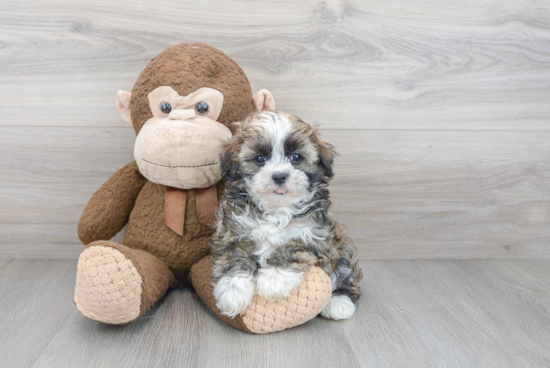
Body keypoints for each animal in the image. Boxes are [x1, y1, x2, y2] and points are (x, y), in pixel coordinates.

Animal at [210, 110, 362, 320]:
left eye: (296, 157)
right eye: (260, 159)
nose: (279, 176)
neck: (276, 208)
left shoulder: (316, 236)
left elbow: (292, 248)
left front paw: (273, 280)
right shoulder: (231, 232)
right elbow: (235, 256)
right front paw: (233, 290)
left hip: (343, 248)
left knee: (344, 273)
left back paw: (339, 302)